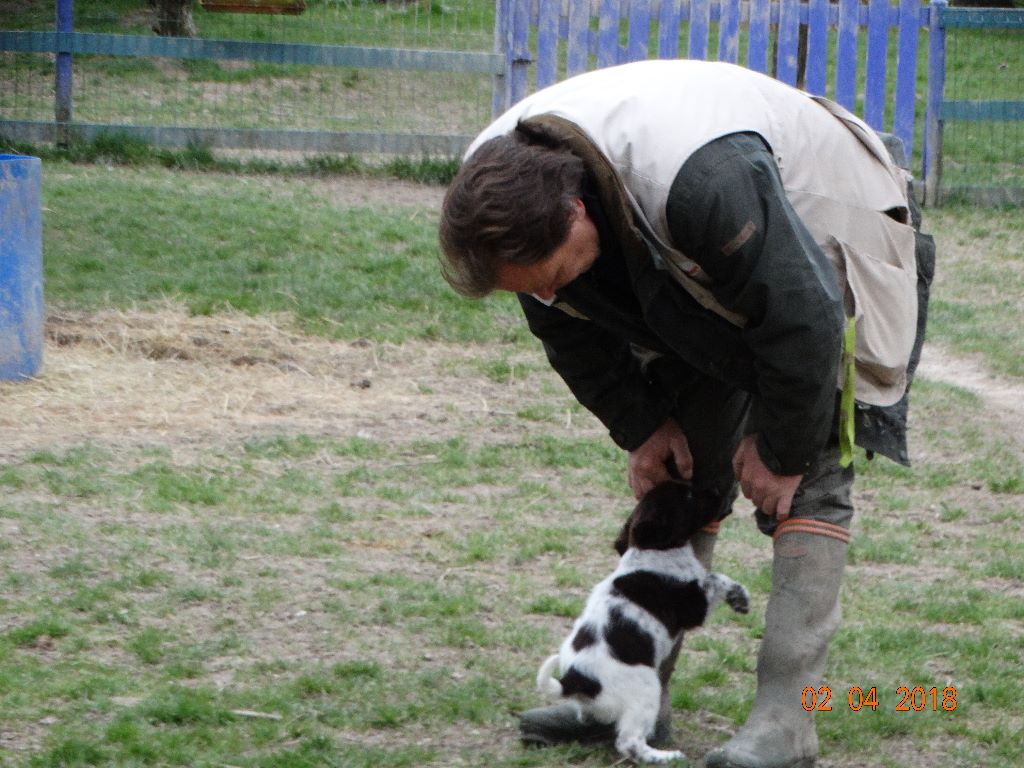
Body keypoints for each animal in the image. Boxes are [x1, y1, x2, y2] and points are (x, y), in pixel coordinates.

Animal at [540, 483, 749, 765]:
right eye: (688, 495)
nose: (720, 489)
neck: (653, 551)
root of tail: (577, 679)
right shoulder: (694, 605)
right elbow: (716, 578)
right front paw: (740, 598)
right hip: (647, 689)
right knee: (629, 743)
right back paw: (665, 757)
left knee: (587, 715)